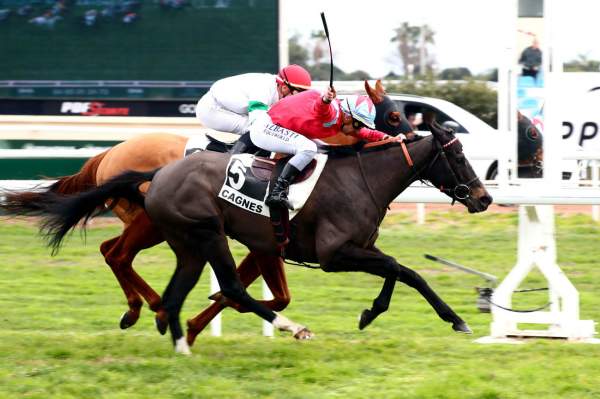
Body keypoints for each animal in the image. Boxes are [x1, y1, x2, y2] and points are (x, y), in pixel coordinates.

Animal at [1, 79, 408, 332]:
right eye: (393, 114)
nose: (410, 136)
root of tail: (110, 152)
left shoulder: (264, 240)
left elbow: (268, 293)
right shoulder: (264, 237)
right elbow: (260, 292)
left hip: (148, 224)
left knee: (111, 251)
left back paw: (142, 308)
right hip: (150, 223)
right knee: (117, 254)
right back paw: (152, 307)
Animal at [19, 121, 492, 354]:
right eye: (458, 156)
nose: (484, 198)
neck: (361, 177)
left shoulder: (312, 247)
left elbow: (407, 273)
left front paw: (446, 317)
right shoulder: (333, 253)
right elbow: (398, 268)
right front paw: (375, 312)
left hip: (185, 241)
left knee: (151, 274)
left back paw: (165, 323)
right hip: (202, 234)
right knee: (138, 260)